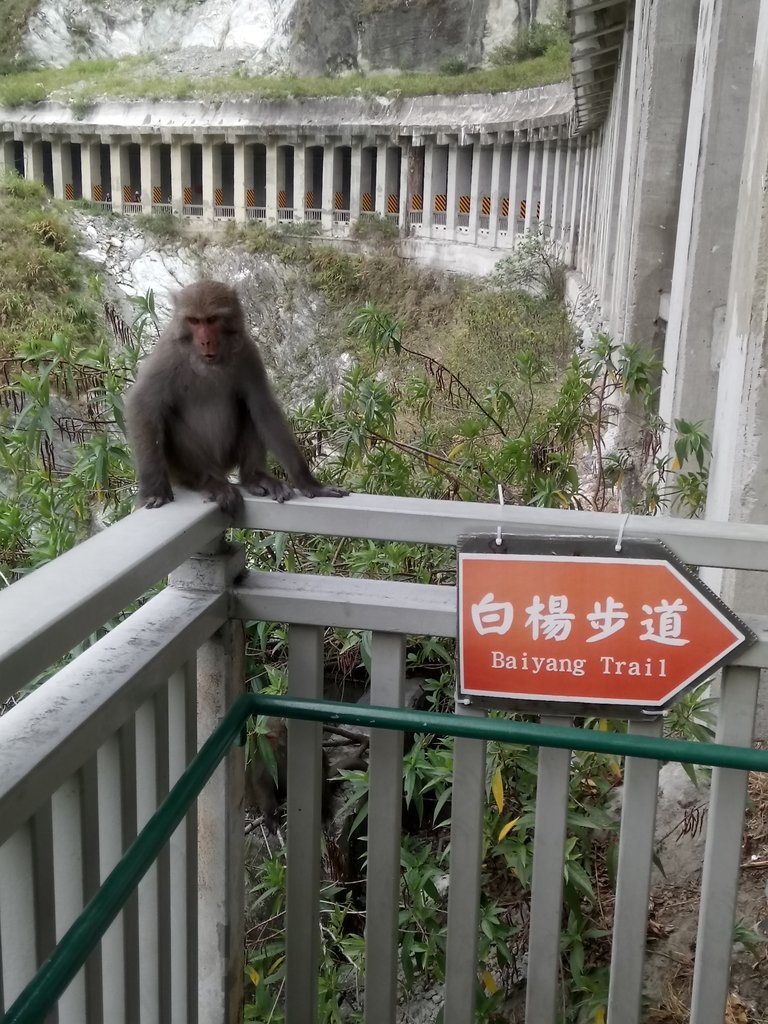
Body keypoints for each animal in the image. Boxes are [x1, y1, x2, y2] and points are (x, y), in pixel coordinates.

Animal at [124, 278, 348, 512]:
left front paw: (309, 482)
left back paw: (255, 477)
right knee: (170, 424)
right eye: (194, 321)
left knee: (250, 411)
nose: (205, 341)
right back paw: (207, 482)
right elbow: (143, 404)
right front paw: (155, 491)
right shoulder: (168, 354)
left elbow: (262, 406)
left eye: (211, 320)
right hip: (189, 467)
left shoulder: (247, 352)